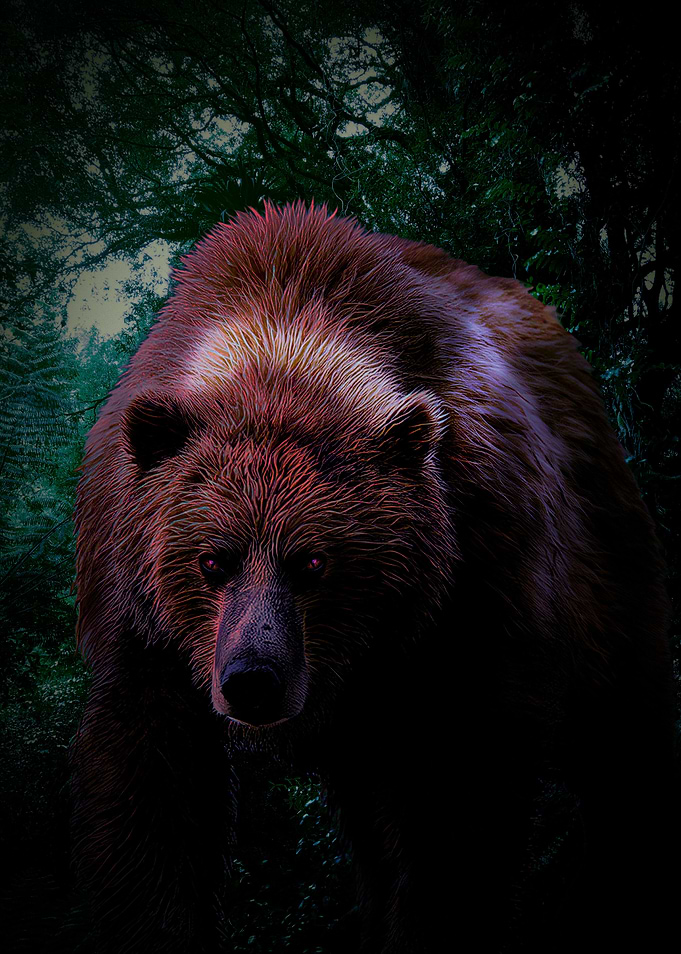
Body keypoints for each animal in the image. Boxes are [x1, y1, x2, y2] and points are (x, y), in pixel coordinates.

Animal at [71, 201, 677, 953]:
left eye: (313, 560)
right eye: (213, 559)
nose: (252, 679)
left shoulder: (473, 587)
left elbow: (456, 814)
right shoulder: (141, 617)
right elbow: (150, 793)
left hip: (605, 576)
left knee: (626, 746)